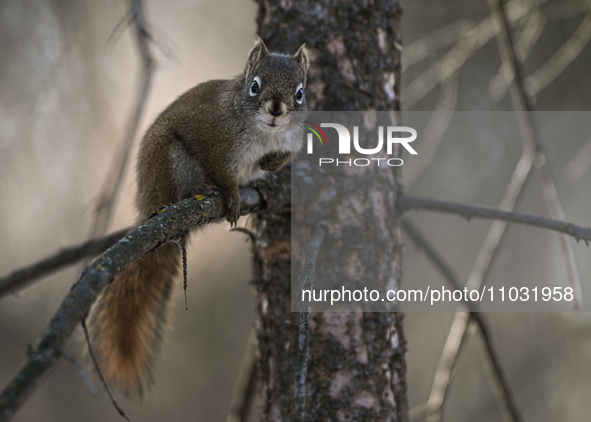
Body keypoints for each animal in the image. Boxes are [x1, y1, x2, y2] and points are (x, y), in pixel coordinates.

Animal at [91, 38, 310, 394]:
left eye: (301, 93)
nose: (277, 109)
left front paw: (268, 166)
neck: (265, 133)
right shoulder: (214, 142)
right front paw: (232, 194)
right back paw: (201, 190)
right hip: (169, 162)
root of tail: (147, 205)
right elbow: (221, 171)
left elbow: (283, 157)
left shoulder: (290, 142)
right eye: (255, 86)